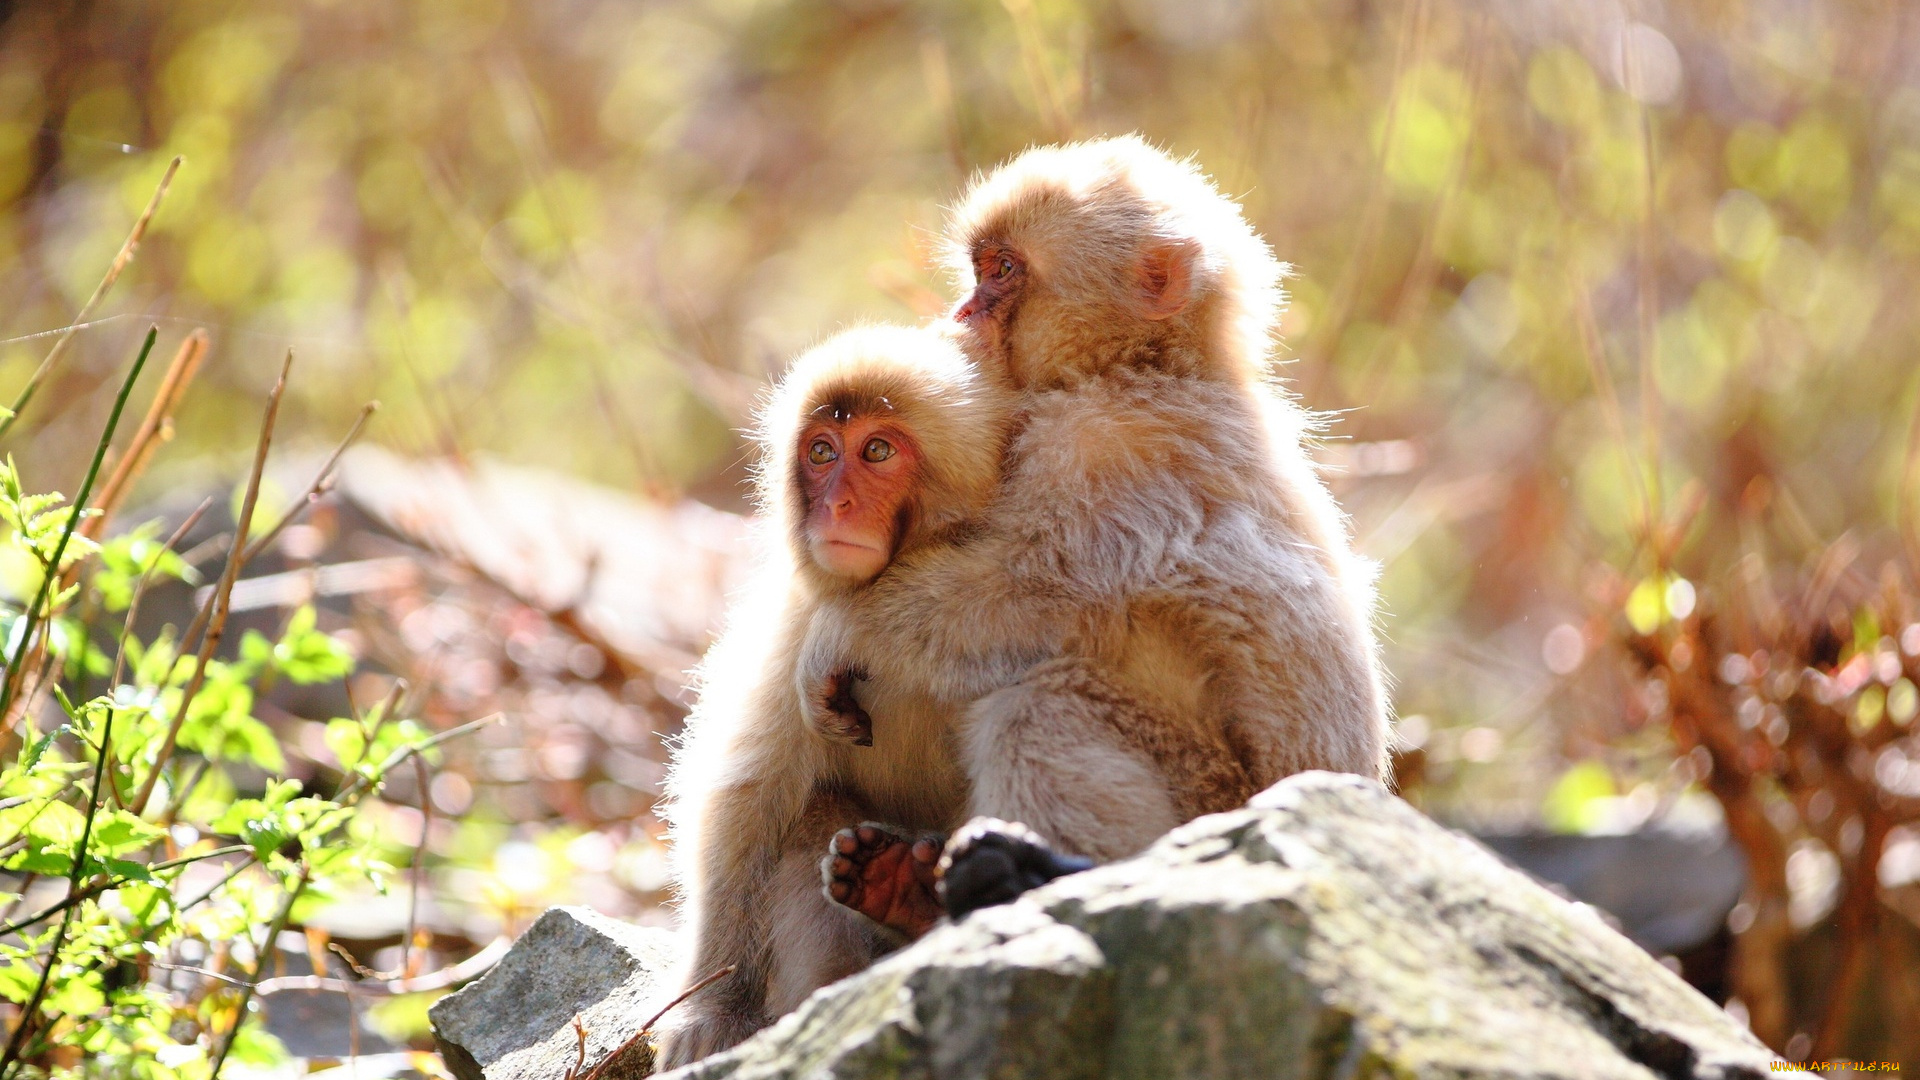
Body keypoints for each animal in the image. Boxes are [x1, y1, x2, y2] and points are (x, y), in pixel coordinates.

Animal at [652, 322, 1013, 1060]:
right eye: (821, 452)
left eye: (876, 451)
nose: (835, 506)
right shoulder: (797, 625)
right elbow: (748, 800)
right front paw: (710, 1010)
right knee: (812, 812)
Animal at [802, 136, 1390, 933]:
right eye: (980, 269)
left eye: (1002, 272)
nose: (964, 310)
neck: (1141, 367)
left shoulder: (1102, 450)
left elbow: (1028, 595)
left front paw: (839, 633)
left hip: (1207, 795)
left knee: (1041, 705)